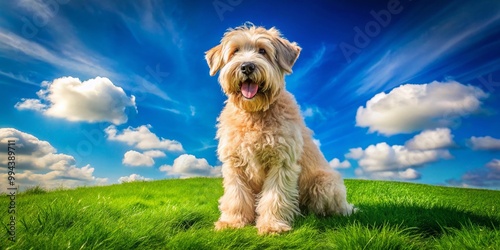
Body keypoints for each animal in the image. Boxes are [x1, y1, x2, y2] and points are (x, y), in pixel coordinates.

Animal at [205, 23, 354, 234]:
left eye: (262, 51)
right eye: (235, 51)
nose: (247, 66)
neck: (254, 113)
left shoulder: (281, 161)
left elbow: (274, 196)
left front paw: (271, 225)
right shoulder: (235, 163)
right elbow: (236, 195)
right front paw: (233, 222)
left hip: (325, 183)